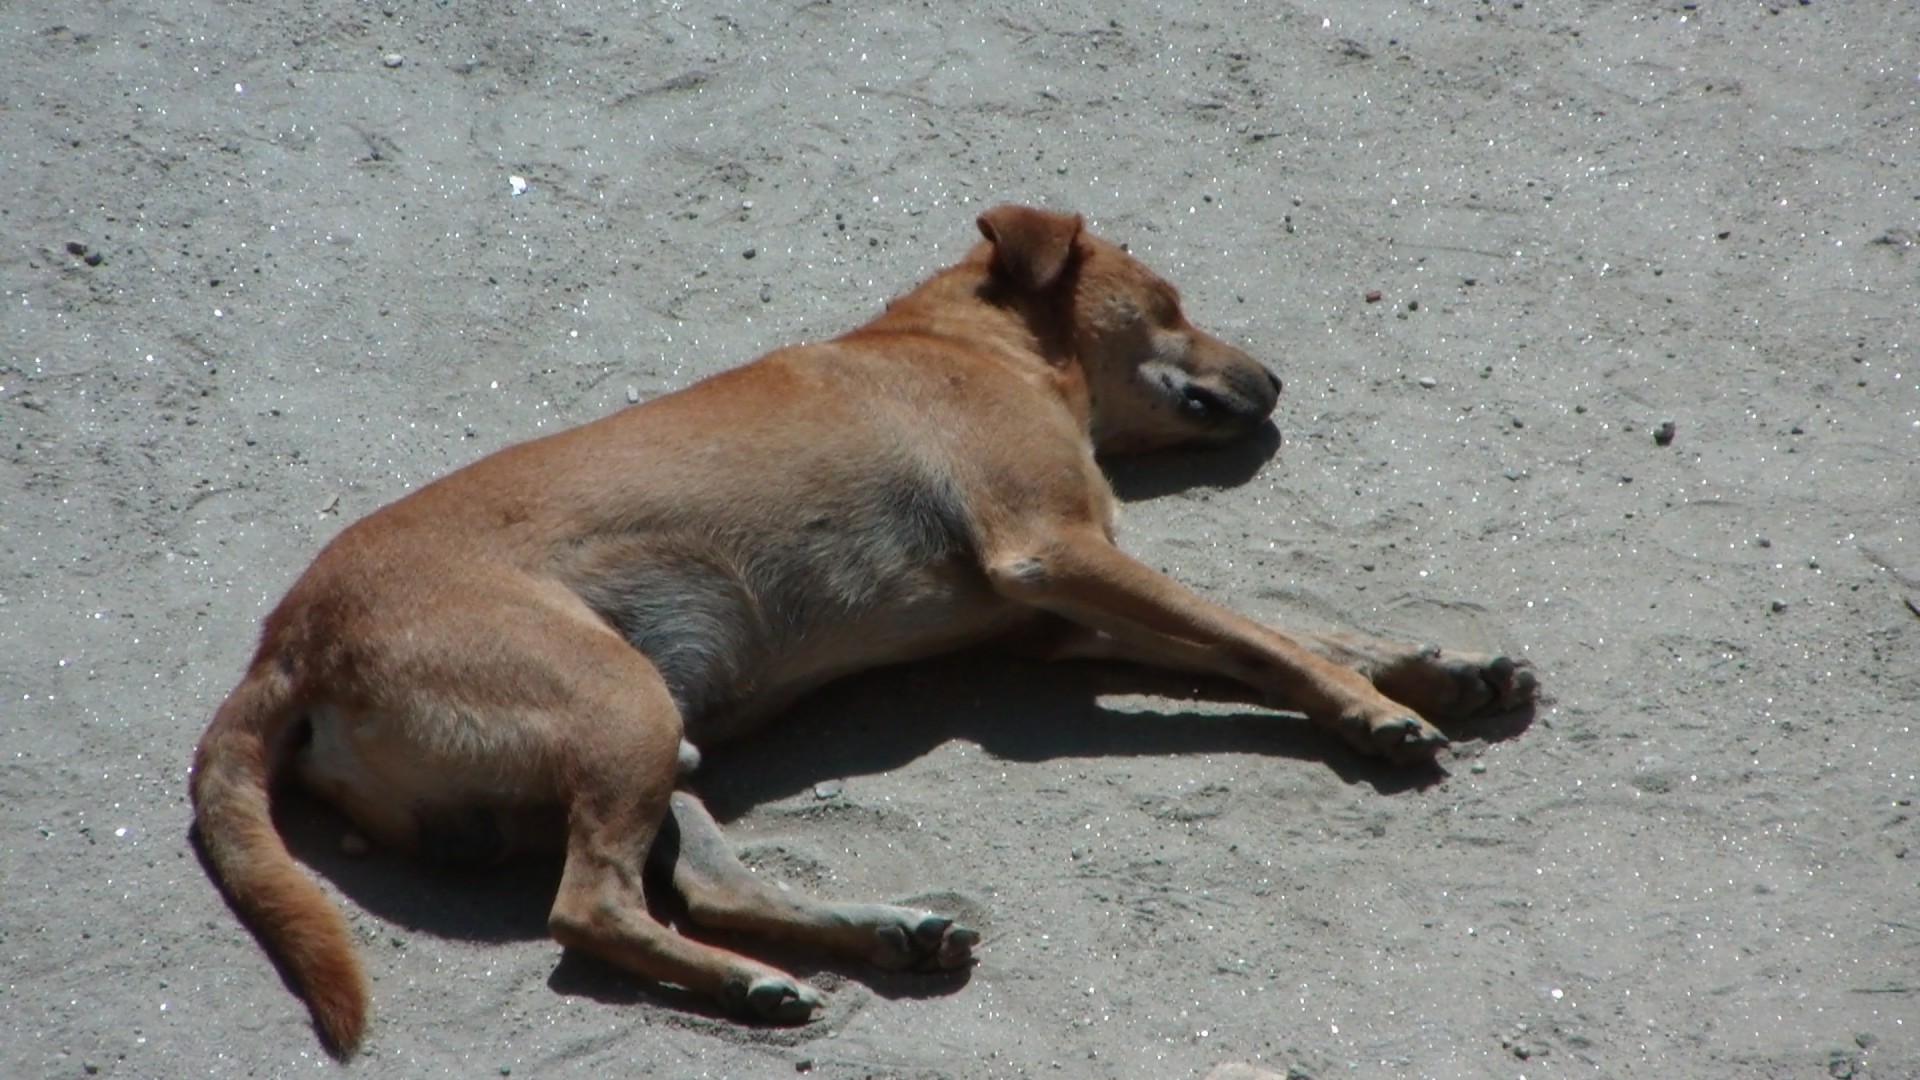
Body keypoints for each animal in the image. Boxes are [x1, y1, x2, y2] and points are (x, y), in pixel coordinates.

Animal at [191, 203, 1543, 1053]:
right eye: (1166, 301)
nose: (1275, 382)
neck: (973, 341)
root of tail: (284, 643)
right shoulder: (1060, 553)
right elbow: (1267, 636)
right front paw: (1376, 712)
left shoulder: (1059, 620)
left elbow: (1282, 627)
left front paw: (1437, 669)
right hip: (615, 705)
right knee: (588, 911)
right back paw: (754, 981)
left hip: (655, 733)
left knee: (703, 884)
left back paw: (870, 939)